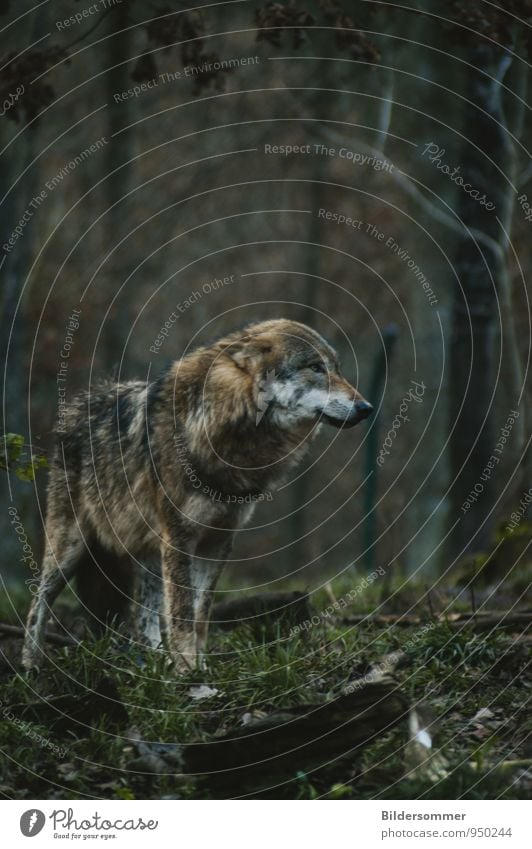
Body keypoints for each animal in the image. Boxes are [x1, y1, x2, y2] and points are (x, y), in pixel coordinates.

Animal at [22, 318, 372, 668]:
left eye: (337, 369)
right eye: (316, 367)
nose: (366, 407)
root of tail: (78, 405)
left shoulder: (219, 539)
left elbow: (200, 613)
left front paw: (199, 668)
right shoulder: (180, 536)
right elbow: (182, 613)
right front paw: (187, 670)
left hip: (150, 553)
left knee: (145, 617)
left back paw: (155, 662)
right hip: (70, 546)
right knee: (37, 604)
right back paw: (30, 667)